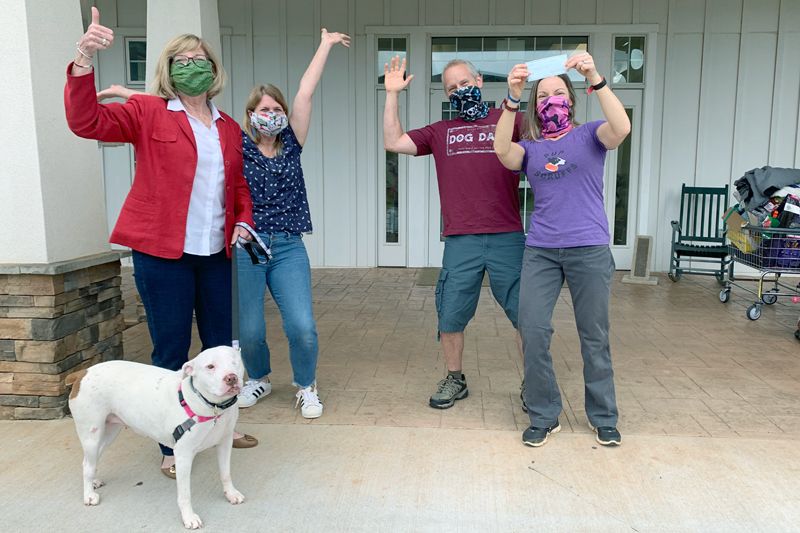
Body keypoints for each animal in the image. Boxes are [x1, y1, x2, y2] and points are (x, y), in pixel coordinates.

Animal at [67, 344, 245, 528]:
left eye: (235, 362)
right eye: (210, 366)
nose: (231, 378)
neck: (212, 407)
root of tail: (82, 372)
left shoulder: (225, 442)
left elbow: (225, 473)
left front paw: (231, 494)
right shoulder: (183, 455)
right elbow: (185, 494)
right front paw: (189, 517)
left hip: (108, 433)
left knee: (88, 462)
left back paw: (93, 482)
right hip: (91, 436)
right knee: (88, 465)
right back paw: (89, 495)